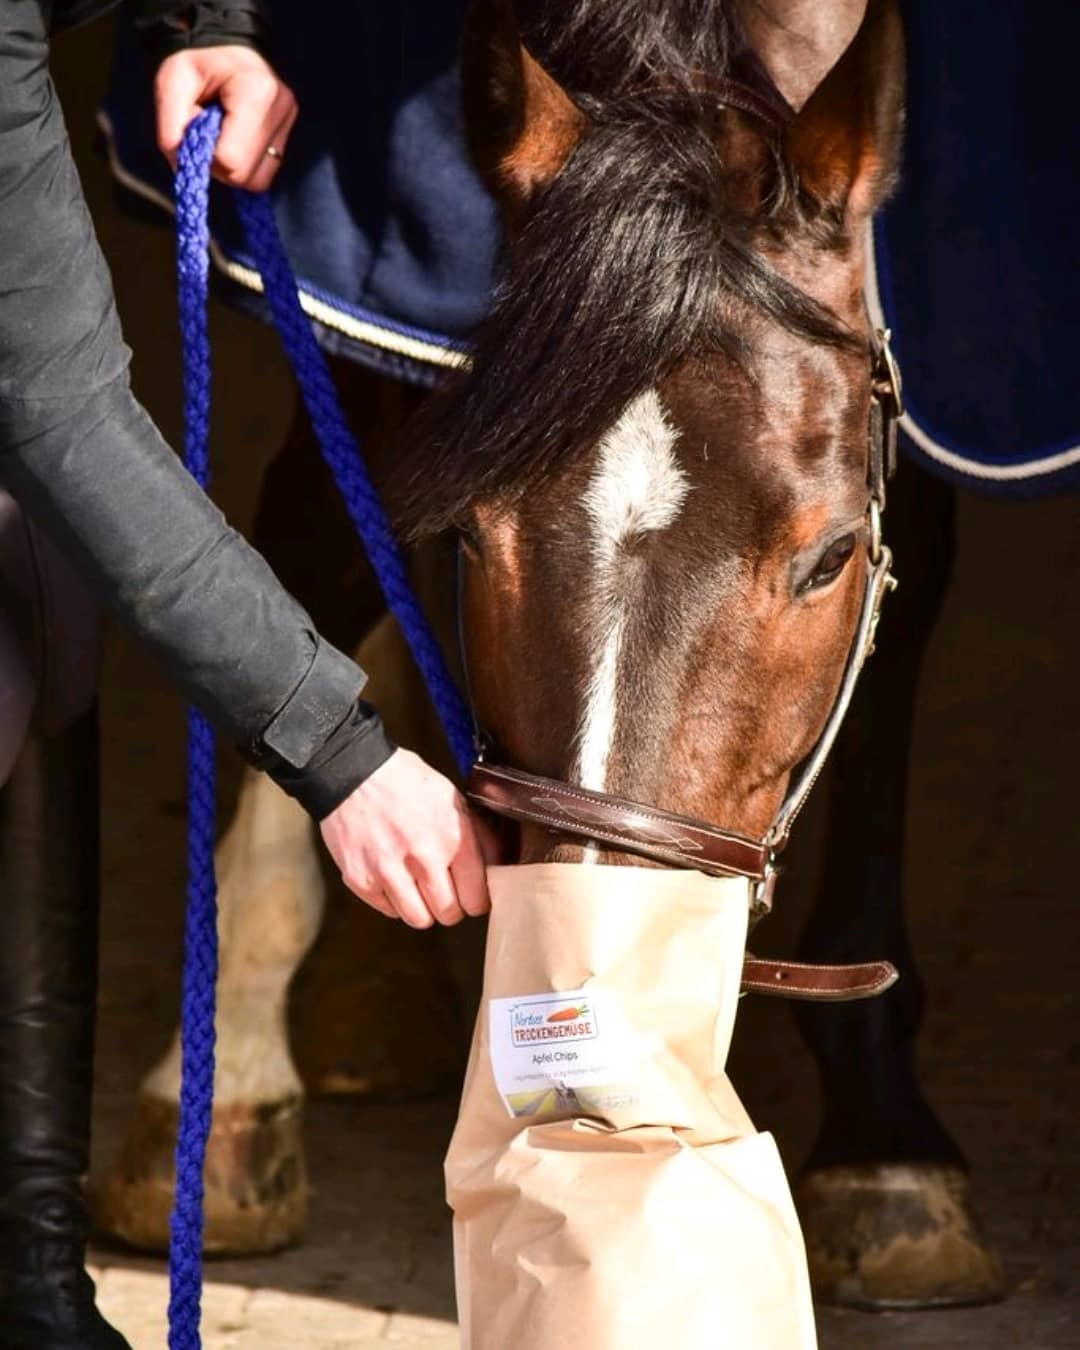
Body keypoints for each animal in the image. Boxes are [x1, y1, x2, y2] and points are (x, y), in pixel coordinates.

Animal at [97, 0, 988, 1314]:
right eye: (472, 535)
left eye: (830, 558)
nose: (585, 1006)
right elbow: (322, 530)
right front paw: (215, 1099)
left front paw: (887, 1148)